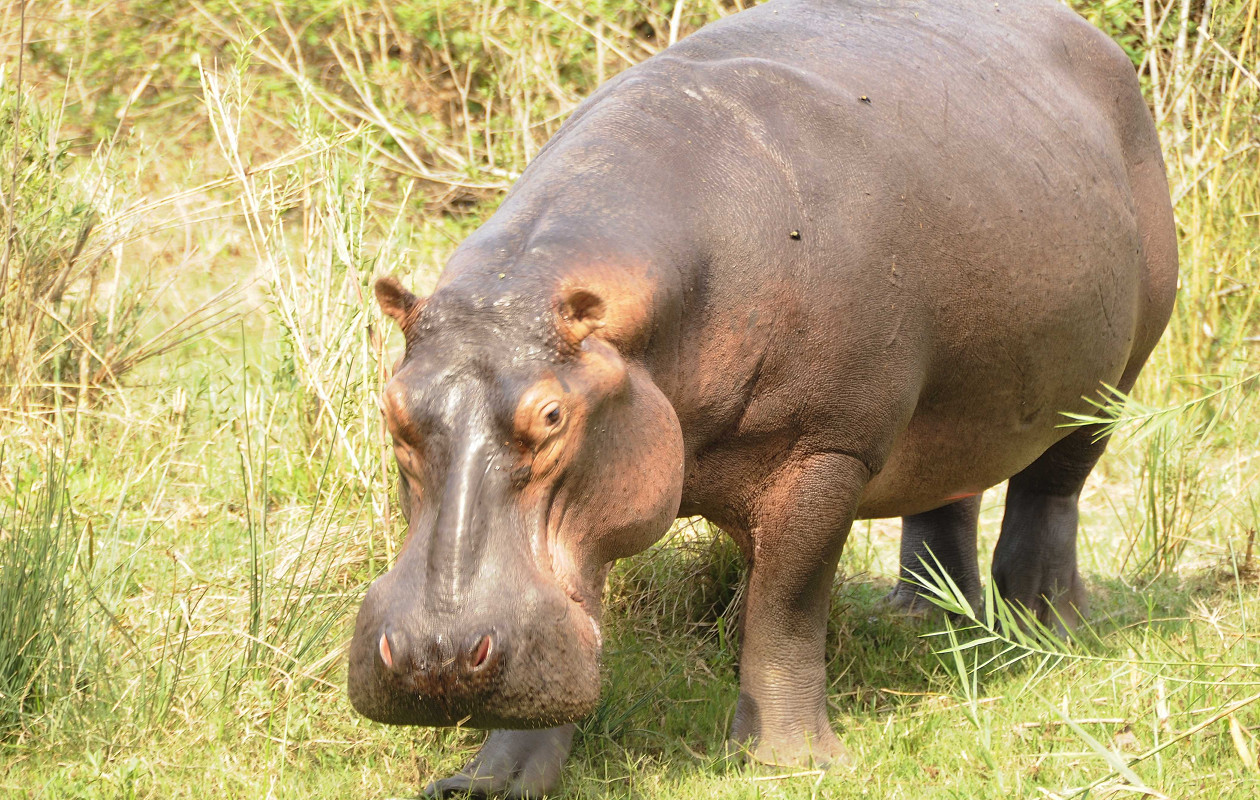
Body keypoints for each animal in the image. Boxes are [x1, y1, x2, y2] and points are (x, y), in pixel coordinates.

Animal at [347, 0, 1178, 795]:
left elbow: (784, 608)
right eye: (391, 410)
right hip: (959, 393)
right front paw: (485, 781)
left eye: (552, 416)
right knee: (948, 491)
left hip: (1109, 384)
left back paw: (1039, 628)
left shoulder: (826, 450)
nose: (433, 654)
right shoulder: (616, 478)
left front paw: (789, 764)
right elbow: (564, 621)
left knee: (1051, 493)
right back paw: (920, 619)